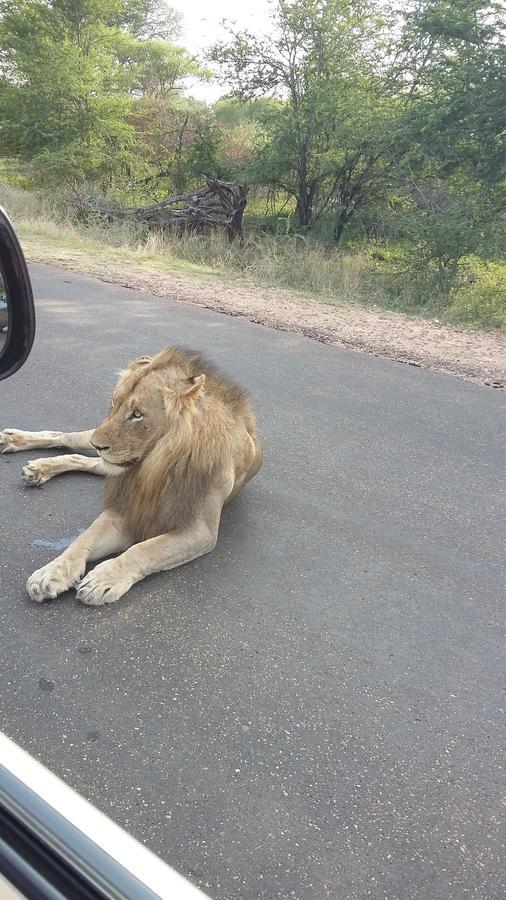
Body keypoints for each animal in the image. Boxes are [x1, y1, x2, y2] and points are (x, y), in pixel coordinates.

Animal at [0, 344, 260, 604]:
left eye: (137, 414)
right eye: (114, 402)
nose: (97, 445)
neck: (153, 469)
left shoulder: (199, 530)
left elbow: (145, 550)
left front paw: (102, 580)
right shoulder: (125, 509)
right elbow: (84, 538)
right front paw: (51, 573)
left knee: (83, 459)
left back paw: (38, 469)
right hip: (92, 440)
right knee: (63, 437)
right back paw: (14, 442)